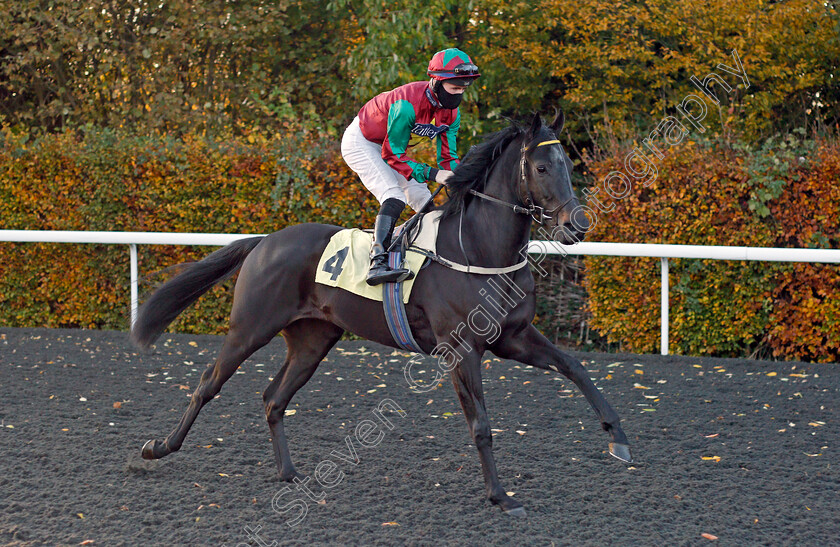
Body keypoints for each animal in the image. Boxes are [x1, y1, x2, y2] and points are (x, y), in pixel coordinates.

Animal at [133, 112, 632, 520]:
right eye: (543, 167)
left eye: (567, 165)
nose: (576, 225)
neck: (479, 248)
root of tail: (265, 240)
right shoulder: (461, 348)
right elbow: (481, 425)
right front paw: (500, 496)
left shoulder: (515, 337)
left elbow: (575, 368)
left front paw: (618, 437)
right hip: (250, 328)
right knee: (207, 385)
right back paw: (159, 447)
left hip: (313, 340)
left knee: (274, 398)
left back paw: (290, 474)